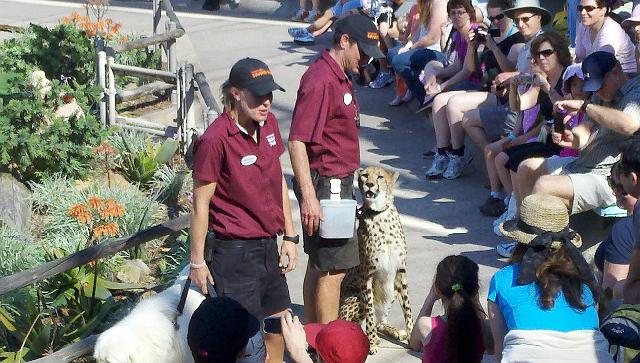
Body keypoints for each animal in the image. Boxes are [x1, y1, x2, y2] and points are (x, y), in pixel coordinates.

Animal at [340, 167, 416, 356]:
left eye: (380, 176)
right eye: (365, 176)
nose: (369, 184)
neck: (380, 214)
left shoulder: (400, 273)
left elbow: (408, 309)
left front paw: (413, 337)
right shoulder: (367, 275)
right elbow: (370, 313)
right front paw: (372, 342)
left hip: (391, 290)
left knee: (380, 322)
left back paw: (396, 331)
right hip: (356, 298)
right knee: (358, 323)